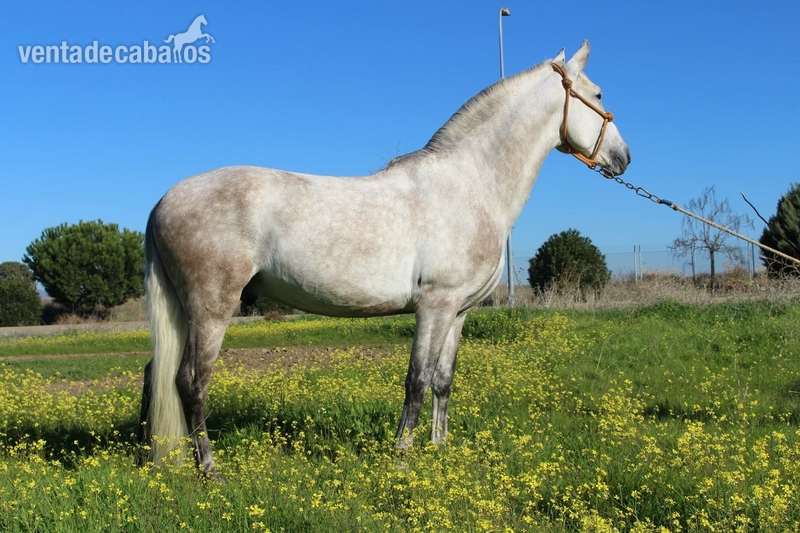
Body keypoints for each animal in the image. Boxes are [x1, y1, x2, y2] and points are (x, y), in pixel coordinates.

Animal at [138, 41, 630, 477]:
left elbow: (442, 381)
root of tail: (163, 201)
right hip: (211, 307)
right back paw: (209, 470)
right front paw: (403, 458)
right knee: (190, 382)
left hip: (184, 309)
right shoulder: (435, 305)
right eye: (599, 94)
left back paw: (153, 457)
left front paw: (439, 450)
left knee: (154, 375)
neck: (472, 184)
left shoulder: (458, 312)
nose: (623, 157)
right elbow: (416, 381)